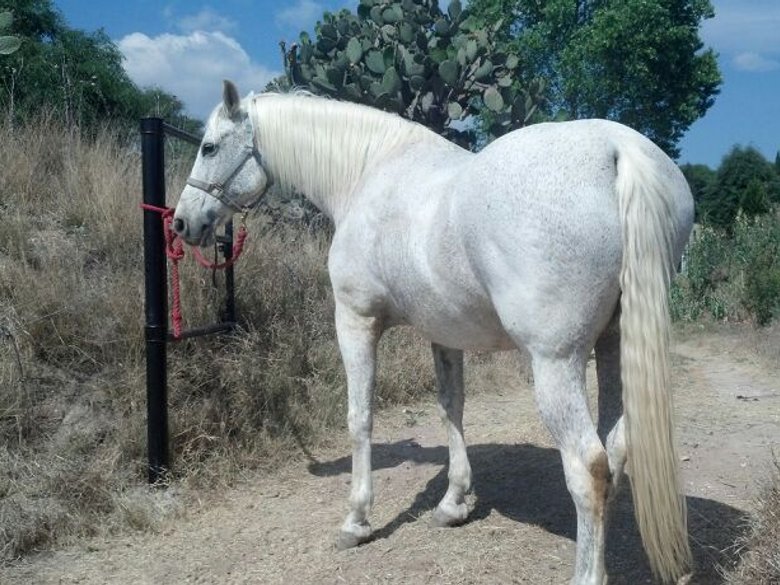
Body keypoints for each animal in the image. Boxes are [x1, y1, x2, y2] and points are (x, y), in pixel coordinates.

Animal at [173, 80, 694, 585]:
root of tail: (618, 149)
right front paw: (453, 502)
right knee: (617, 449)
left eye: (209, 146)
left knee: (588, 466)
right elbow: (451, 407)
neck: (368, 173)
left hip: (556, 363)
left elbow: (360, 417)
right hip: (614, 348)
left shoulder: (355, 320)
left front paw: (356, 521)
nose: (181, 222)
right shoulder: (444, 333)